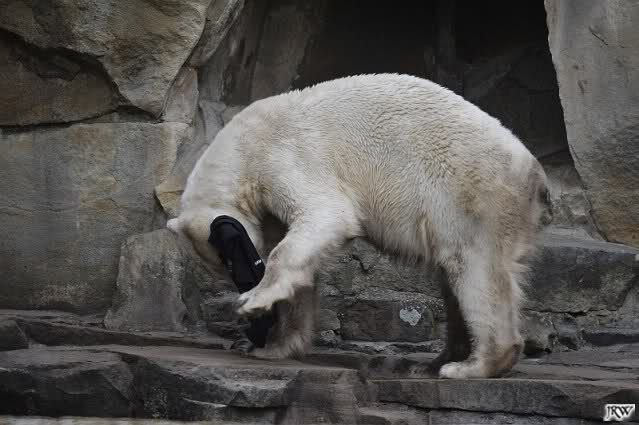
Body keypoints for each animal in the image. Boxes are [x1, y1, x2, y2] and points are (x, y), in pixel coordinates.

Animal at [167, 73, 552, 379]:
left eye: (235, 262)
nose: (244, 284)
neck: (243, 145)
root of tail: (534, 175)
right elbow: (302, 263)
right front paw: (271, 346)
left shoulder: (286, 157)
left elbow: (325, 217)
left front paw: (253, 303)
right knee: (455, 279)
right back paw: (435, 362)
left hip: (470, 195)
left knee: (474, 268)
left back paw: (470, 367)